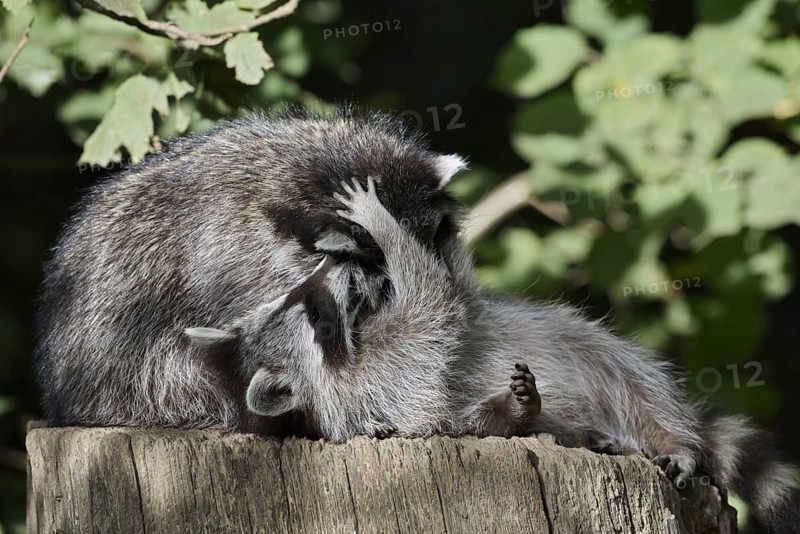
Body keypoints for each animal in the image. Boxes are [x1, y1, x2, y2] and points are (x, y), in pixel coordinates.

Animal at [192, 176, 799, 533]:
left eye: (297, 295)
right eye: (310, 306)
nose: (332, 265)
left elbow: (460, 291)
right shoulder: (388, 376)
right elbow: (435, 303)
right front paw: (388, 226)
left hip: (598, 352)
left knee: (641, 388)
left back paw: (667, 438)